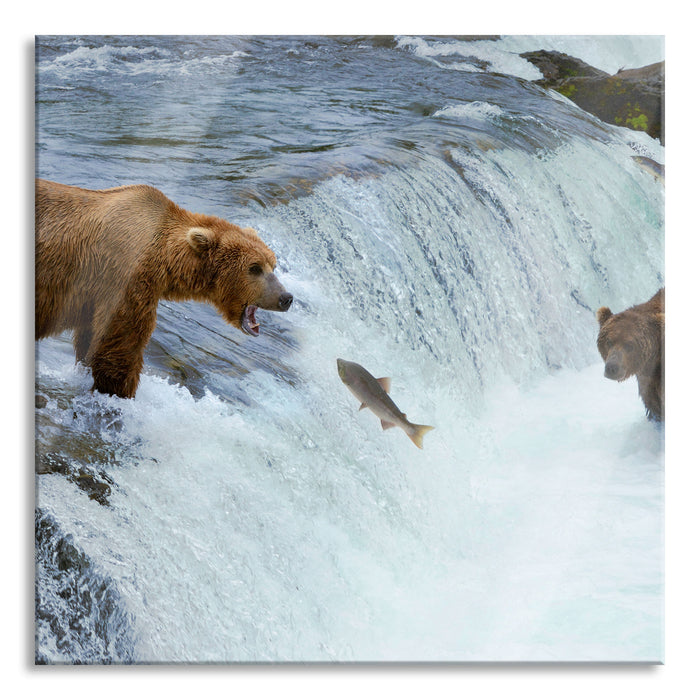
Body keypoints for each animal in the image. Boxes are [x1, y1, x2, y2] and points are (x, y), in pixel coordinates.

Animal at [35, 179, 293, 399]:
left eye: (273, 264)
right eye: (255, 268)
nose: (286, 297)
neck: (164, 259)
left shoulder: (94, 297)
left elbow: (90, 340)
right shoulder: (124, 278)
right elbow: (120, 346)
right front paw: (119, 392)